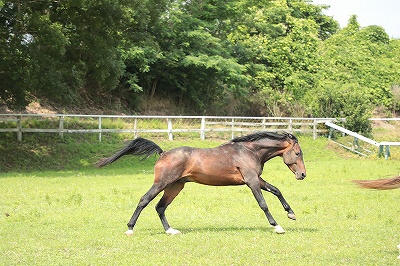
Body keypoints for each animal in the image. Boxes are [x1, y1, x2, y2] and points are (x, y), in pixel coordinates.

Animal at [96, 131, 306, 235]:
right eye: (297, 153)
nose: (302, 174)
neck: (248, 151)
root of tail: (163, 153)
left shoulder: (256, 179)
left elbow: (277, 190)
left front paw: (291, 214)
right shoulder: (251, 181)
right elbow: (263, 204)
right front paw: (277, 226)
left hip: (175, 186)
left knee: (160, 207)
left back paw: (171, 231)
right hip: (162, 183)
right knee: (144, 200)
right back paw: (130, 229)